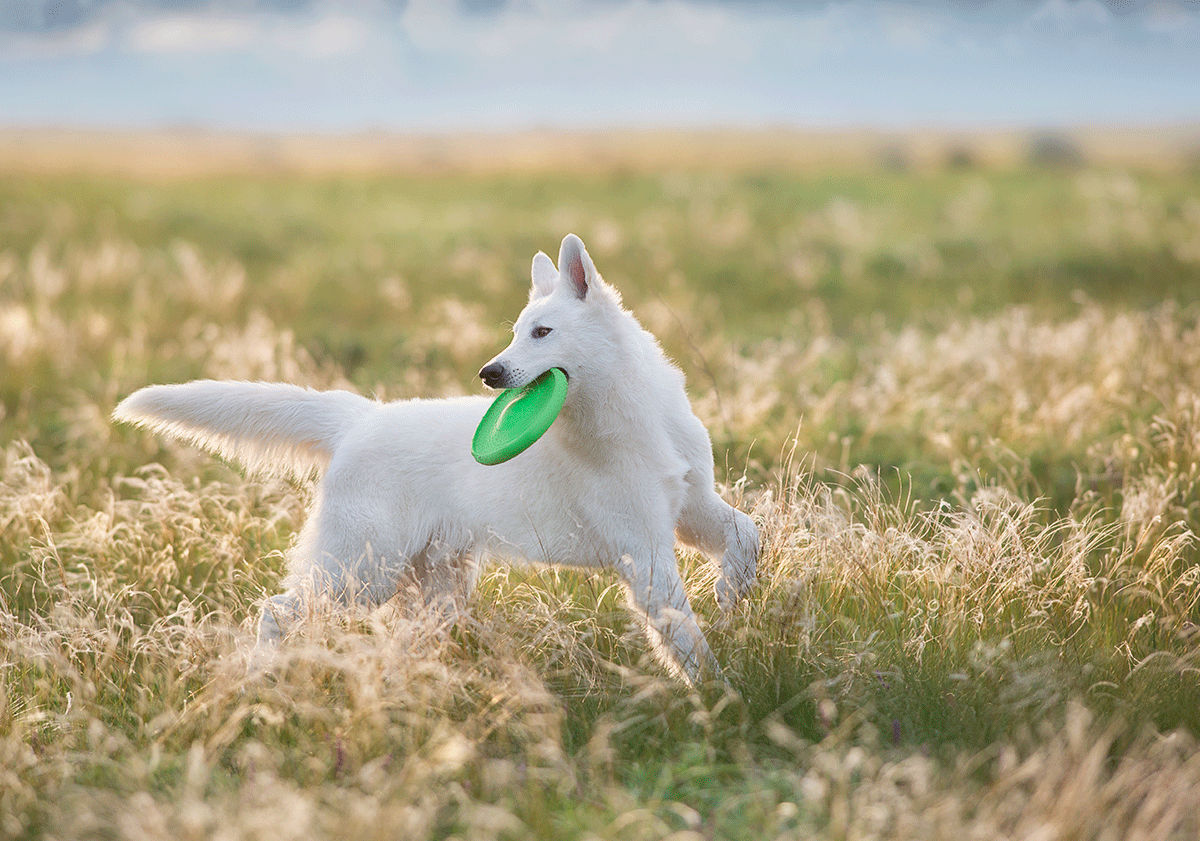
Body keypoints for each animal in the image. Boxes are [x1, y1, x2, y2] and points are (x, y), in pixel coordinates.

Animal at [110, 235, 748, 681]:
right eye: (516, 333)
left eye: (541, 332)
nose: (490, 373)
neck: (636, 416)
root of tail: (357, 420)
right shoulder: (645, 552)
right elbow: (686, 638)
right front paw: (721, 698)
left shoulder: (691, 510)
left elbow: (745, 531)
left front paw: (734, 592)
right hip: (360, 570)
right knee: (277, 610)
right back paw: (260, 678)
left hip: (433, 585)